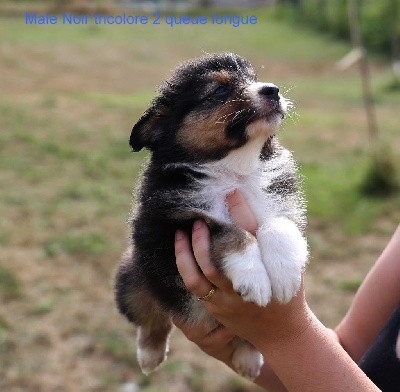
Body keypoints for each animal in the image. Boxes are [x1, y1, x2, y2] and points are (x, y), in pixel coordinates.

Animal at [115, 52, 310, 380]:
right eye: (219, 90)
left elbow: (276, 224)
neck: (235, 170)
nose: (272, 90)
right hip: (134, 275)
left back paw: (248, 358)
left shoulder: (284, 202)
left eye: (253, 78)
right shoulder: (167, 226)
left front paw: (284, 275)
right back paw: (150, 355)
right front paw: (254, 277)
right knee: (153, 315)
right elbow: (228, 231)